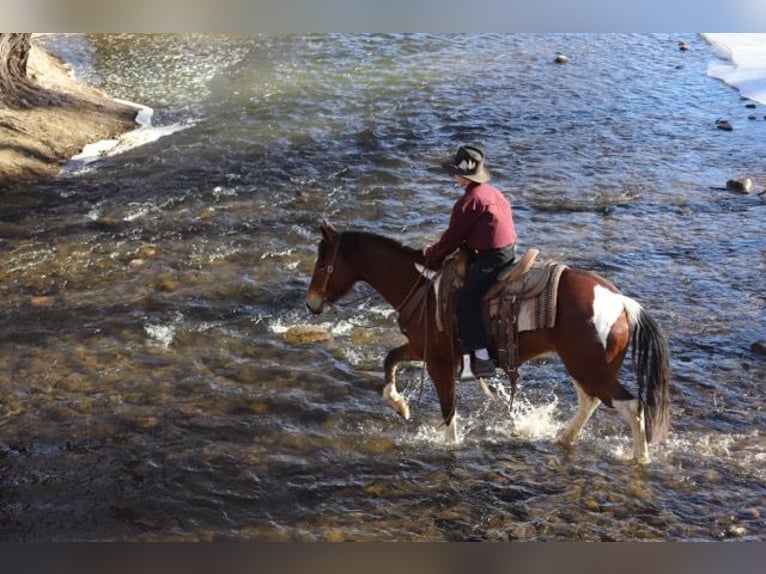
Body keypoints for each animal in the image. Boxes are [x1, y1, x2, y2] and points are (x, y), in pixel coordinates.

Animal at [306, 223, 672, 466]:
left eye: (323, 264)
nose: (311, 303)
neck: (422, 286)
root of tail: (621, 302)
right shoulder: (426, 350)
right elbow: (390, 359)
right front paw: (400, 405)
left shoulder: (439, 362)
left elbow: (448, 410)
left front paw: (448, 443)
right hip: (583, 366)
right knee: (590, 401)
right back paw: (565, 438)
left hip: (590, 368)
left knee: (631, 406)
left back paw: (640, 458)